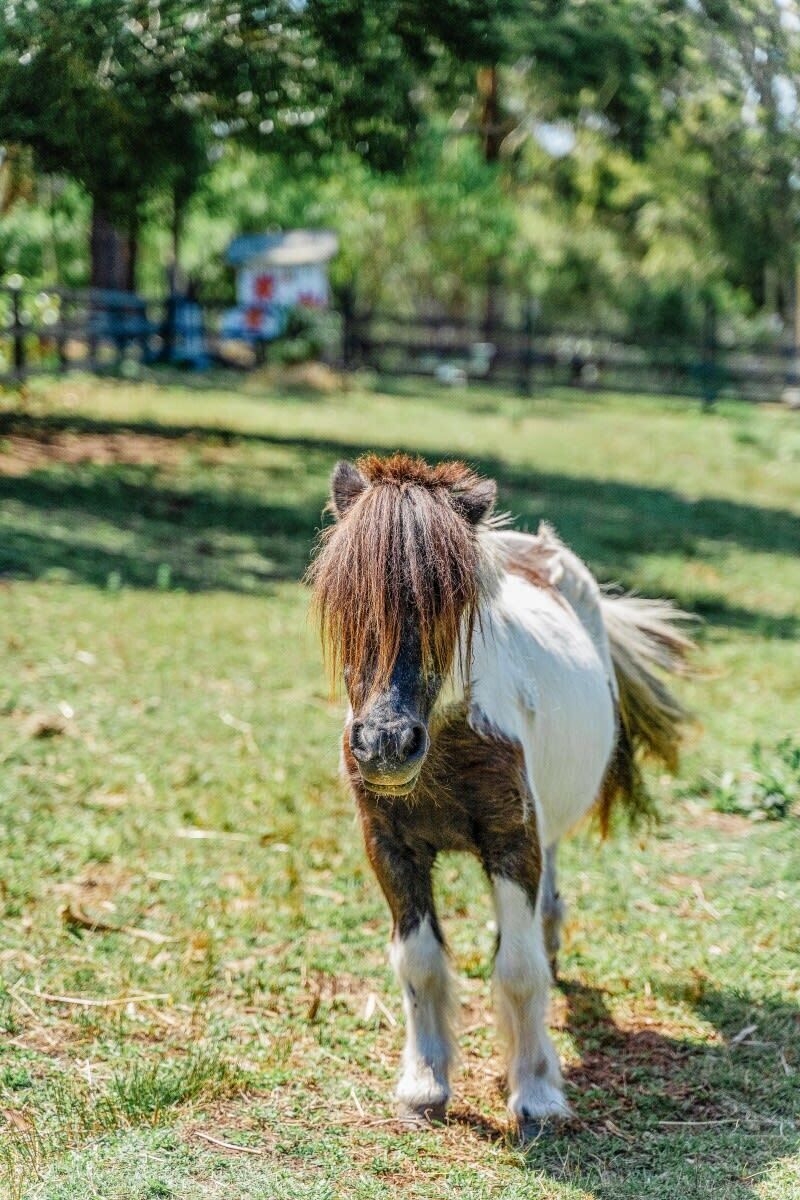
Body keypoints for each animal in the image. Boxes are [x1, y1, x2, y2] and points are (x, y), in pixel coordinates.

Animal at [308, 453, 694, 1132]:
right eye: (346, 600)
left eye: (446, 604)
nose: (385, 743)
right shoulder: (390, 848)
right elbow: (419, 960)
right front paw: (425, 1085)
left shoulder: (514, 842)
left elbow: (518, 969)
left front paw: (536, 1094)